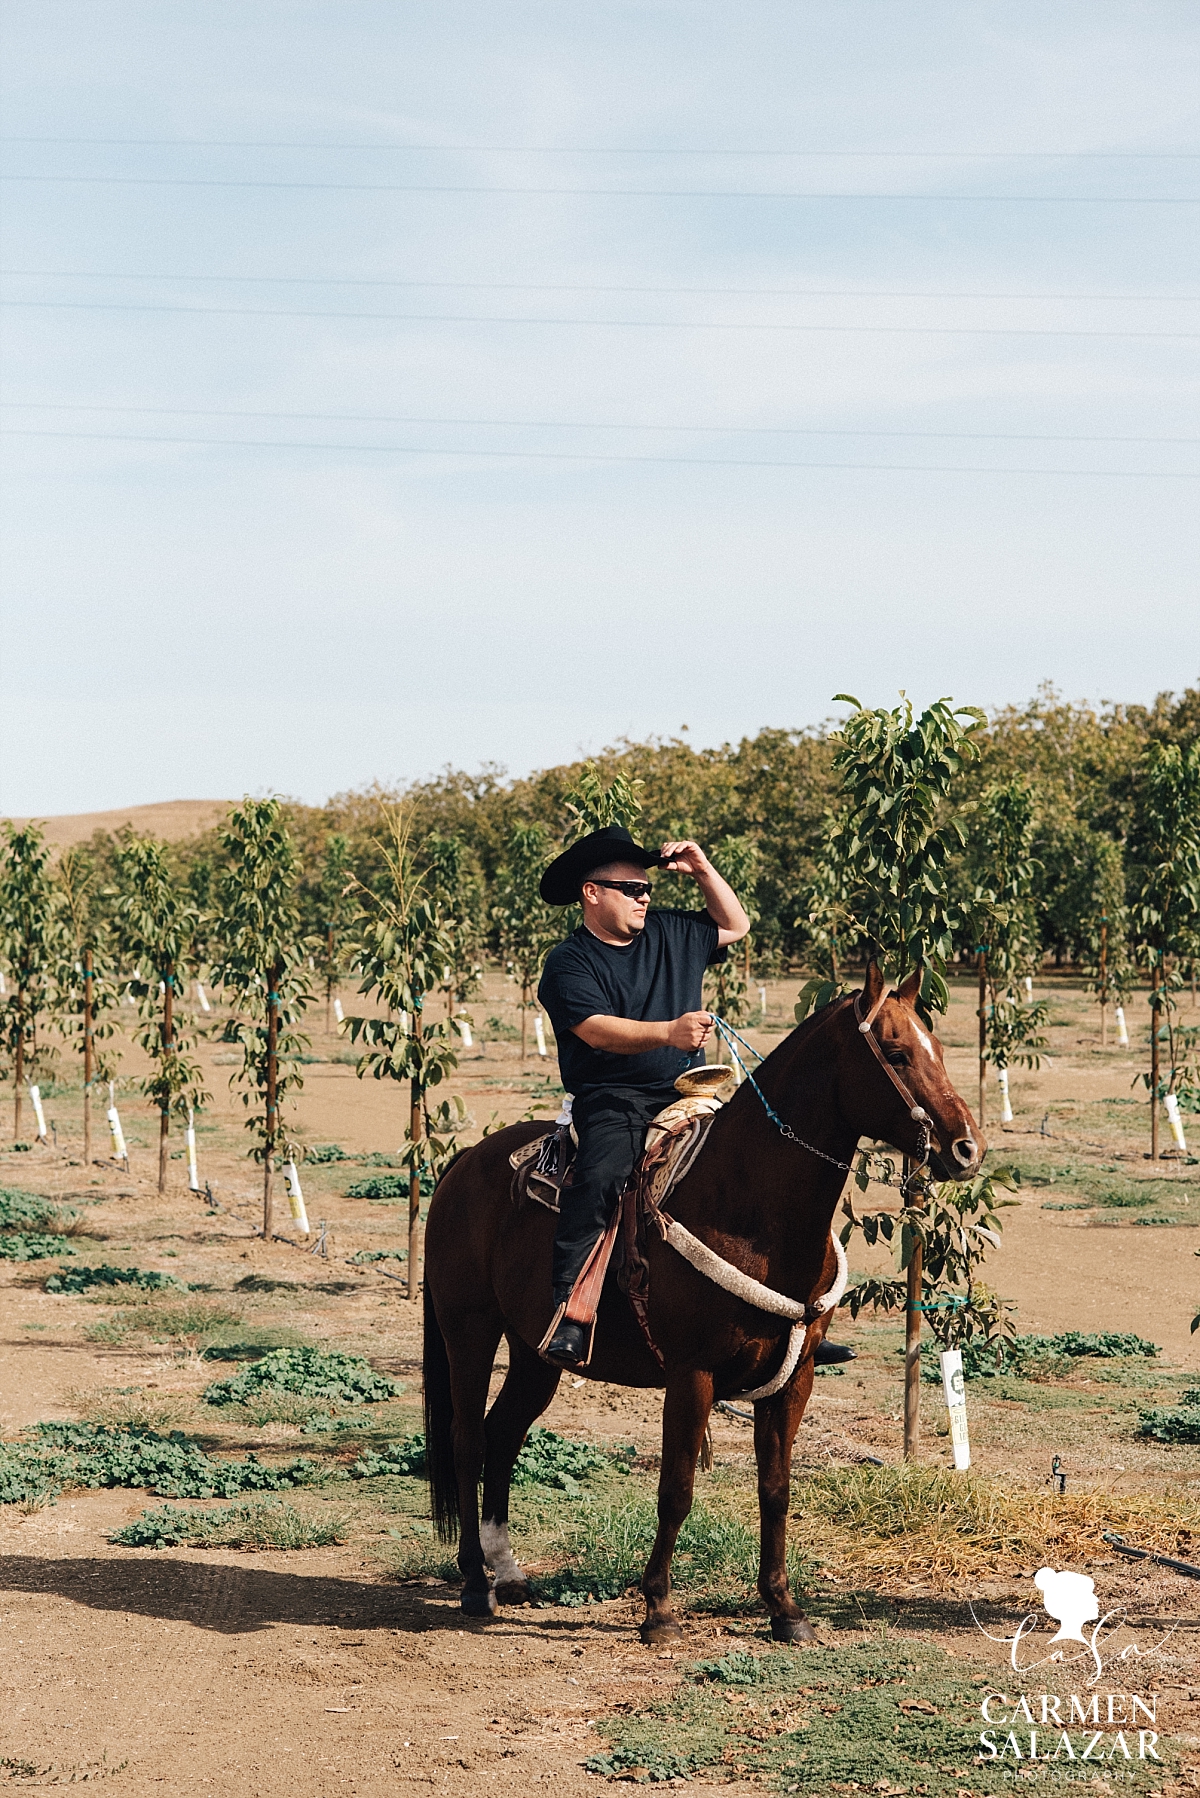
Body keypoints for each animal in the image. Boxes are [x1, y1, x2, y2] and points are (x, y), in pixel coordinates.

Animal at [422, 970, 985, 1646]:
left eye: (940, 1050)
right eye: (897, 1054)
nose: (966, 1148)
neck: (748, 1204)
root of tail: (460, 1165)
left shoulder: (794, 1379)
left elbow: (775, 1488)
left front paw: (783, 1608)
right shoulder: (692, 1375)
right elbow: (678, 1489)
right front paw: (659, 1610)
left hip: (538, 1353)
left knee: (503, 1434)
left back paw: (506, 1573)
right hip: (469, 1331)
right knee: (467, 1439)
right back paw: (474, 1583)